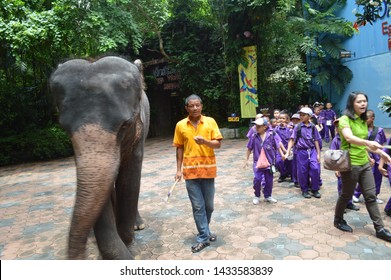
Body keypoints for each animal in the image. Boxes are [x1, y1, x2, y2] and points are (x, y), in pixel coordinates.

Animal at [50, 55, 150, 260]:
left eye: (125, 125)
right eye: (64, 128)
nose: (78, 255)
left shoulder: (139, 132)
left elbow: (129, 178)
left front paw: (127, 237)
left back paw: (138, 225)